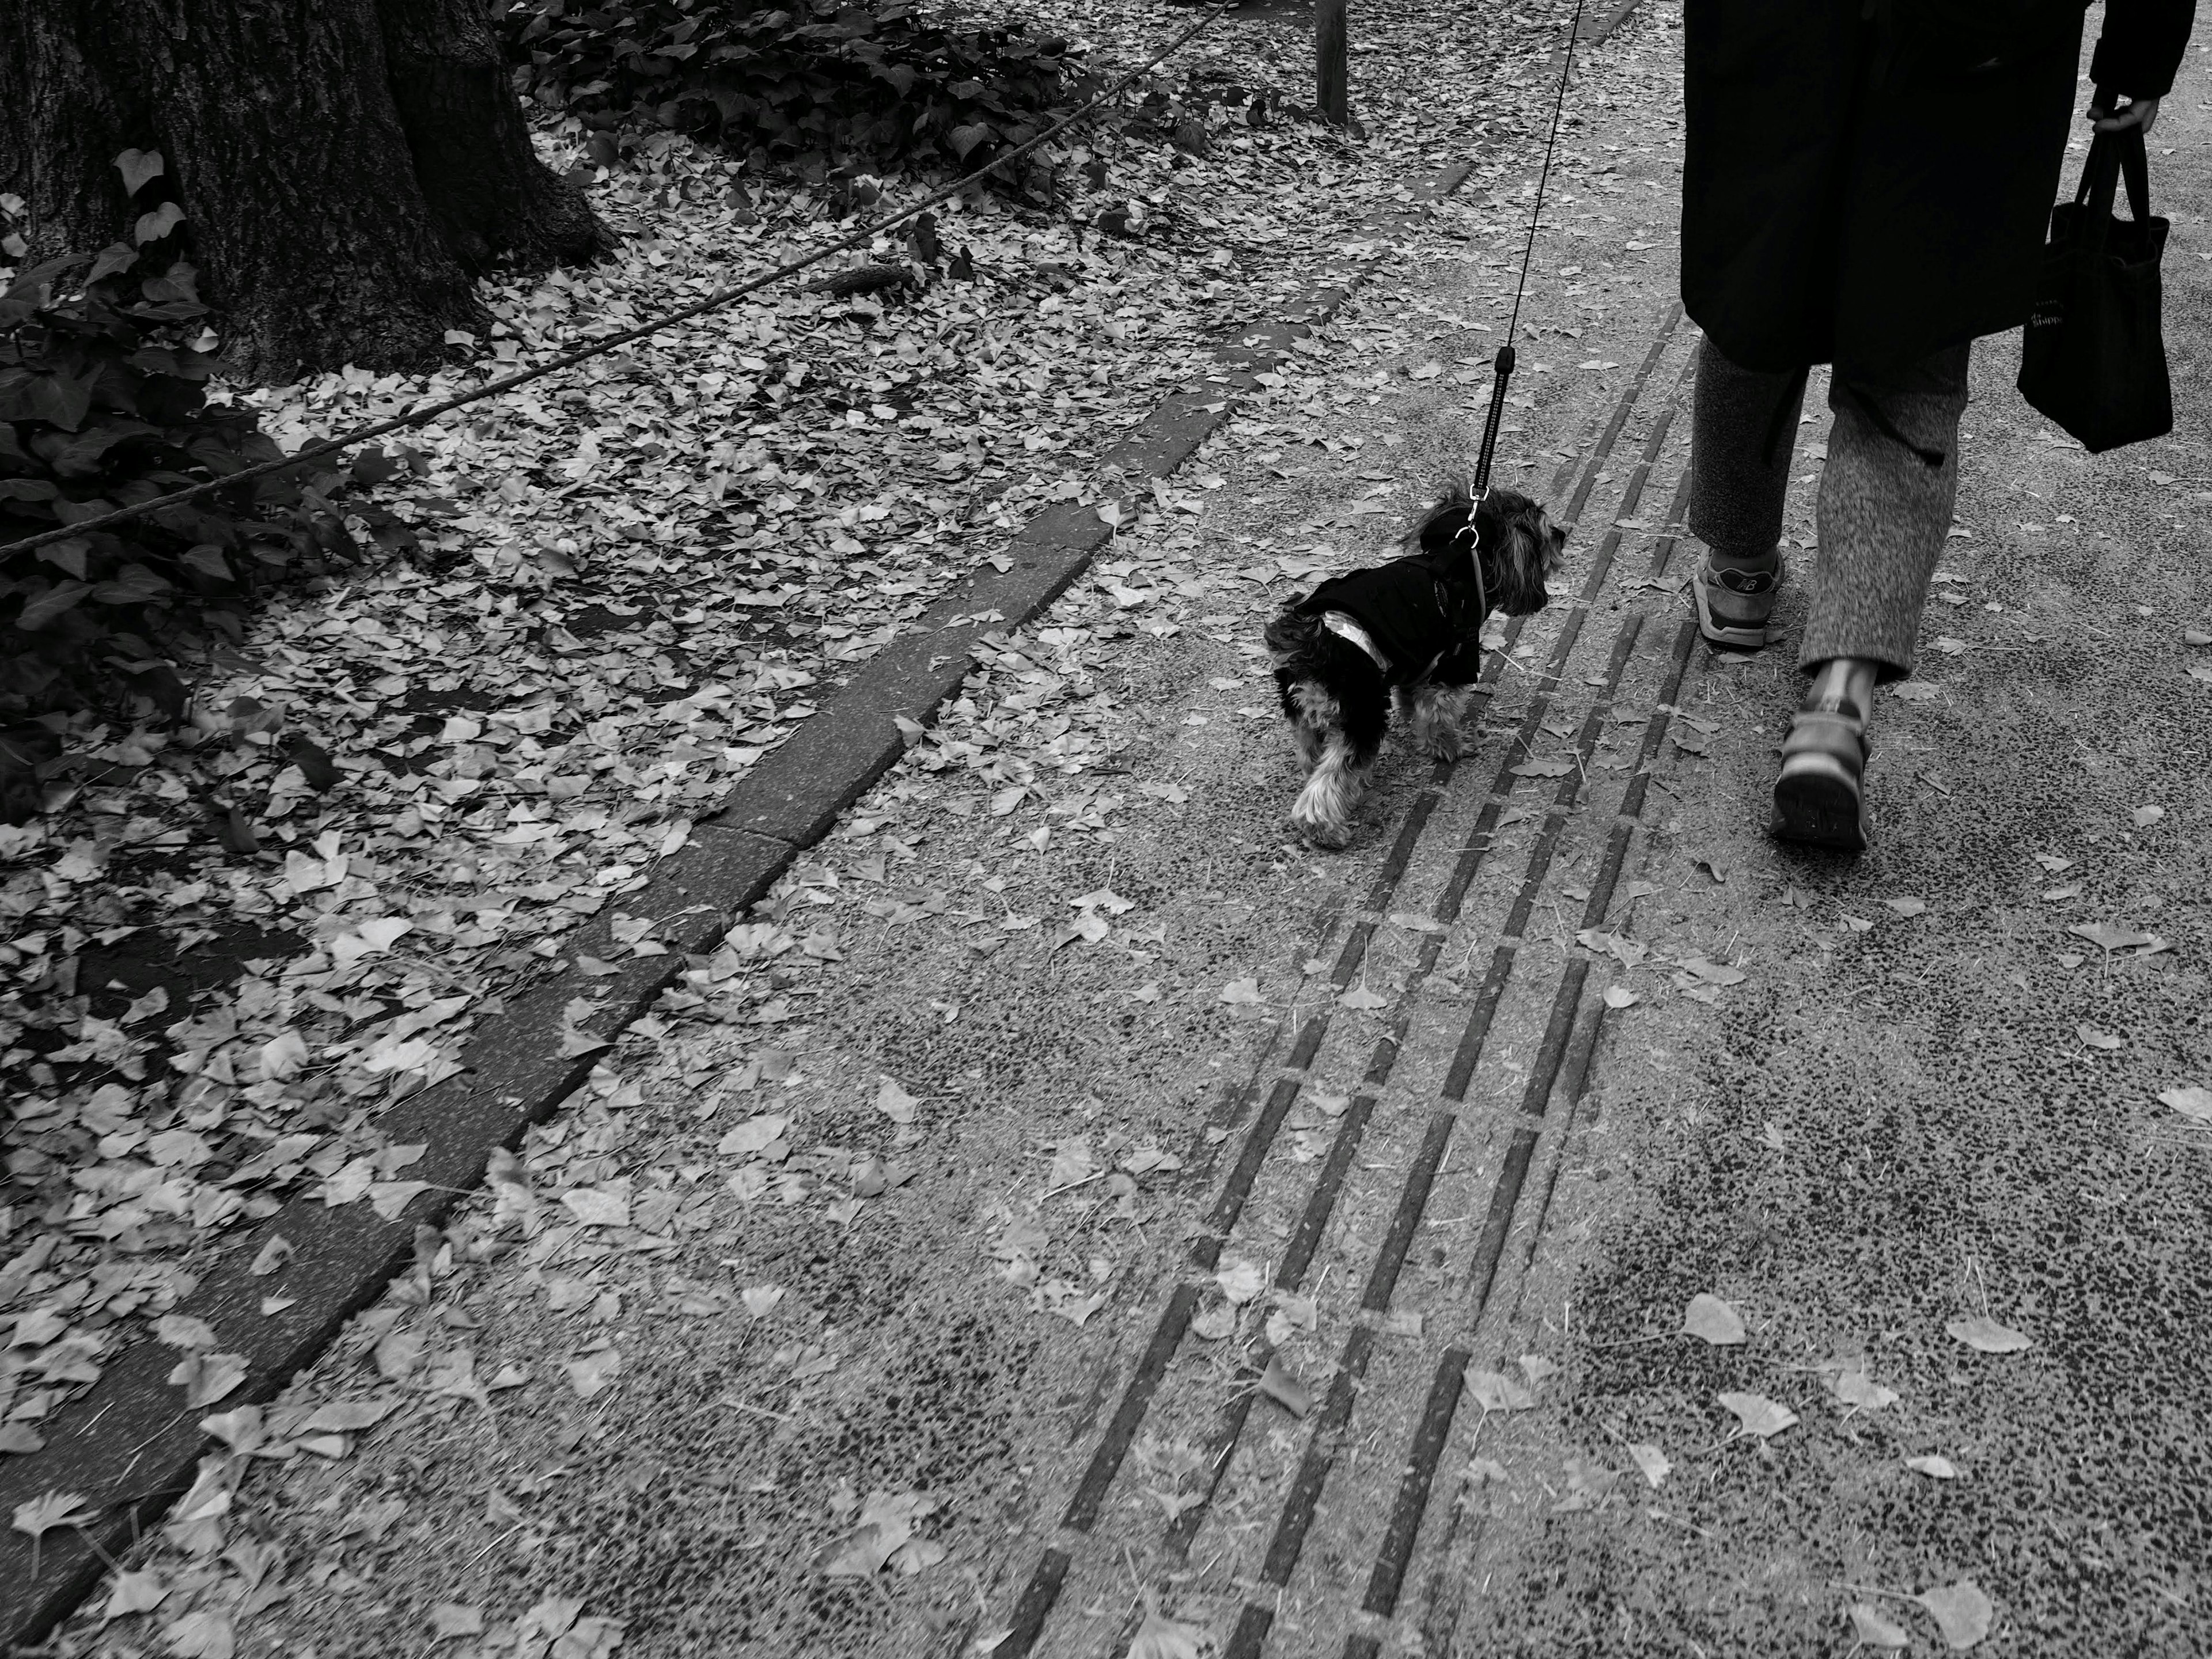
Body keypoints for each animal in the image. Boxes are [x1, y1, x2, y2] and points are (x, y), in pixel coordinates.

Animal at [1274, 478, 1566, 844]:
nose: (1563, 534)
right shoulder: (1455, 657)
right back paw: (1325, 828)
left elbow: (1413, 696)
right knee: (1328, 780)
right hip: (1363, 712)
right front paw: (1451, 746)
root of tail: (1314, 646)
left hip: (1309, 716)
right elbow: (1439, 713)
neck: (1460, 561)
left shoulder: (1417, 658)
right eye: (1545, 531)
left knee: (1314, 759)